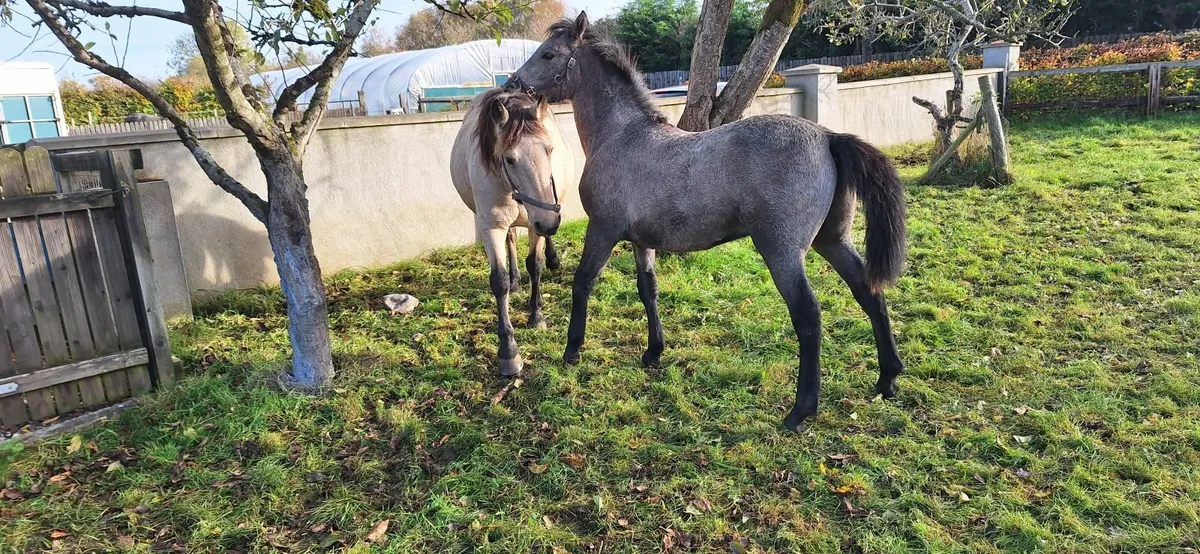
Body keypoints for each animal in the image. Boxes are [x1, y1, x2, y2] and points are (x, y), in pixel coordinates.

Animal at [451, 88, 574, 377]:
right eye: (509, 158)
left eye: (549, 149)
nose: (550, 222)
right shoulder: (492, 226)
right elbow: (500, 280)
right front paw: (509, 352)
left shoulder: (535, 222)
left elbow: (535, 265)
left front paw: (536, 316)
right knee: (511, 242)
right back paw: (517, 279)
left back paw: (553, 260)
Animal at [507, 14, 909, 431]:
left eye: (548, 53)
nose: (510, 88)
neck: (622, 137)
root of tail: (828, 137)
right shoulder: (642, 240)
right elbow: (647, 289)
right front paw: (654, 352)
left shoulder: (603, 230)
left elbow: (583, 281)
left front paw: (572, 349)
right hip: (832, 240)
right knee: (869, 293)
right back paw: (887, 378)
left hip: (782, 251)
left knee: (808, 315)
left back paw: (800, 411)